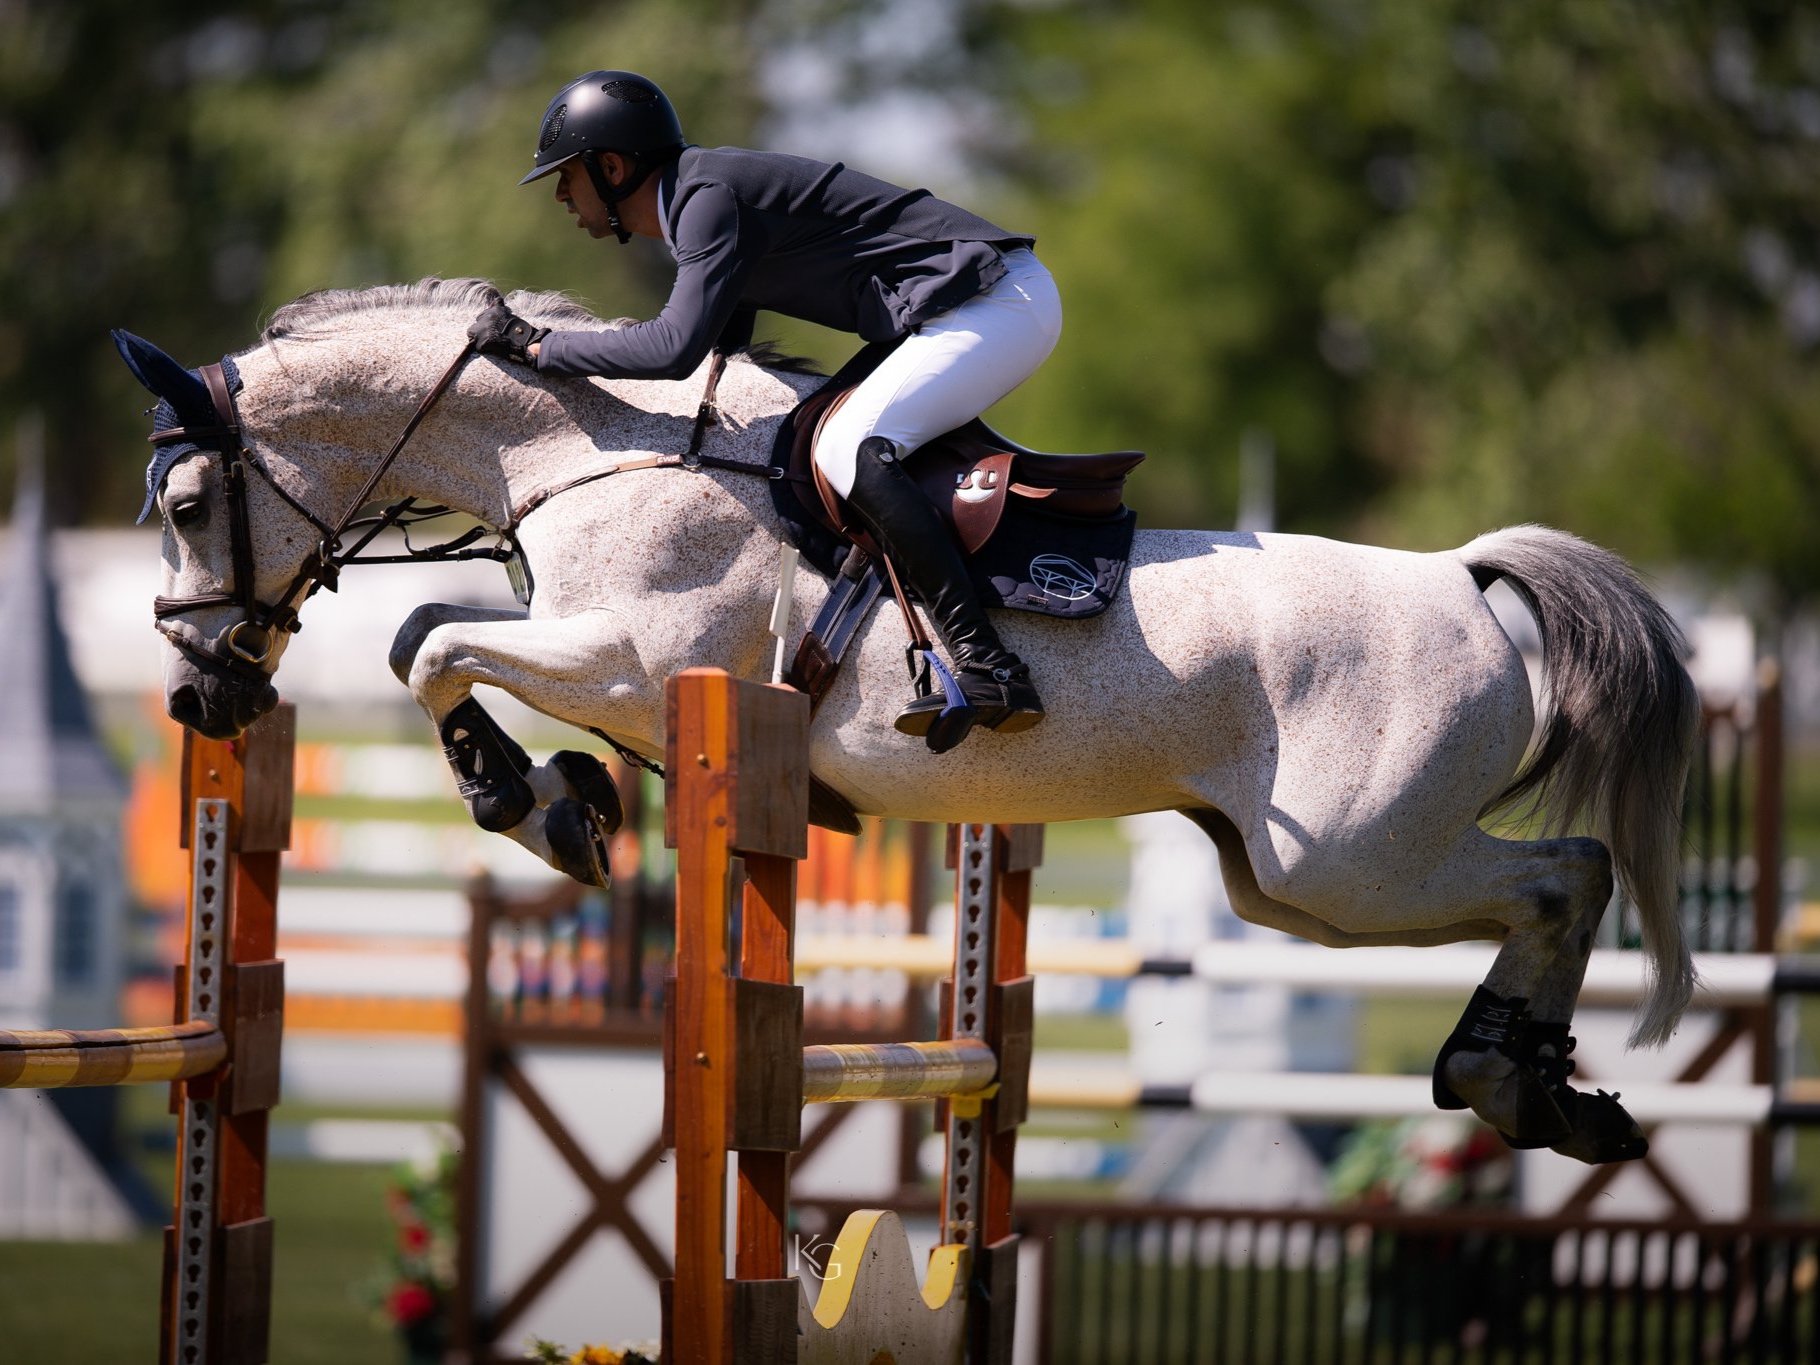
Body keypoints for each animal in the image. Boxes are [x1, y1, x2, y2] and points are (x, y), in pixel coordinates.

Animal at [117, 278, 1703, 1164]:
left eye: (189, 503)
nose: (201, 692)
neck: (592, 450)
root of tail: (1461, 577)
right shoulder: (603, 658)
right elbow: (429, 639)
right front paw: (567, 796)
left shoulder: (629, 656)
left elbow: (428, 643)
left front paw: (536, 803)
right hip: (1296, 886)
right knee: (1552, 885)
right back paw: (1533, 1090)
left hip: (1350, 863)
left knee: (1568, 874)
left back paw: (1510, 1079)